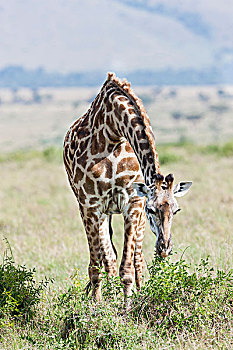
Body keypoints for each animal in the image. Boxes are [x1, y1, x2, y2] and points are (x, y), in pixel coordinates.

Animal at [62, 72, 192, 302]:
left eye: (176, 210)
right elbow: (97, 266)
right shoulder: (90, 205)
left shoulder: (133, 203)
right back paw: (109, 297)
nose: (165, 248)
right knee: (108, 258)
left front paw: (128, 306)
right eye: (152, 210)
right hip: (99, 211)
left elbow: (128, 268)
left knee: (136, 258)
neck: (113, 131)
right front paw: (96, 306)